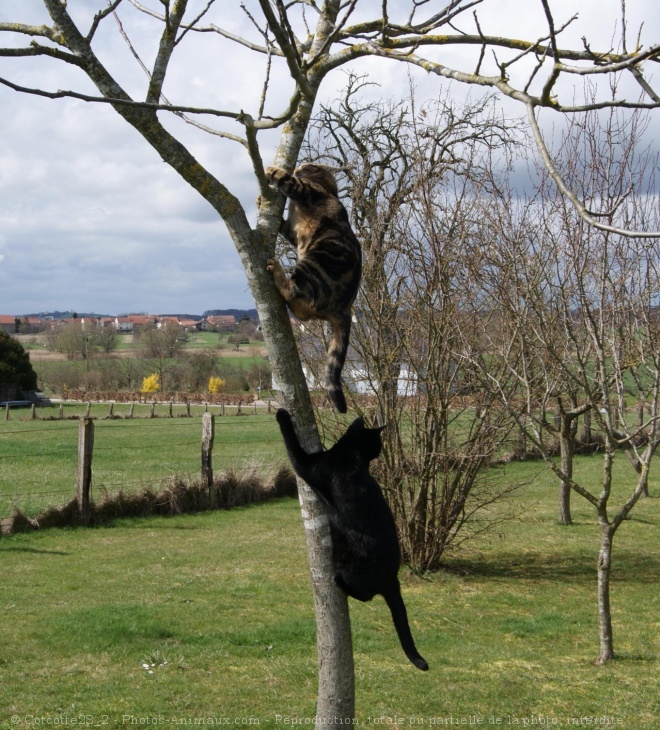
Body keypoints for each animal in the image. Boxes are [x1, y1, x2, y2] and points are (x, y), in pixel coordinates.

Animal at [266, 163, 364, 412]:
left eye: (311, 166)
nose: (300, 166)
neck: (330, 192)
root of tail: (345, 308)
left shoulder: (305, 190)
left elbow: (287, 181)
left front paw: (274, 171)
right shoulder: (292, 232)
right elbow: (283, 225)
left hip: (311, 263)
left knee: (295, 294)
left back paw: (278, 272)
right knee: (303, 313)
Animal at [274, 406, 428, 668]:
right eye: (377, 442)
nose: (379, 451)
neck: (351, 454)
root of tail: (393, 578)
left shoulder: (307, 465)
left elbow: (292, 445)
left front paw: (281, 415)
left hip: (352, 569)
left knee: (365, 595)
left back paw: (338, 582)